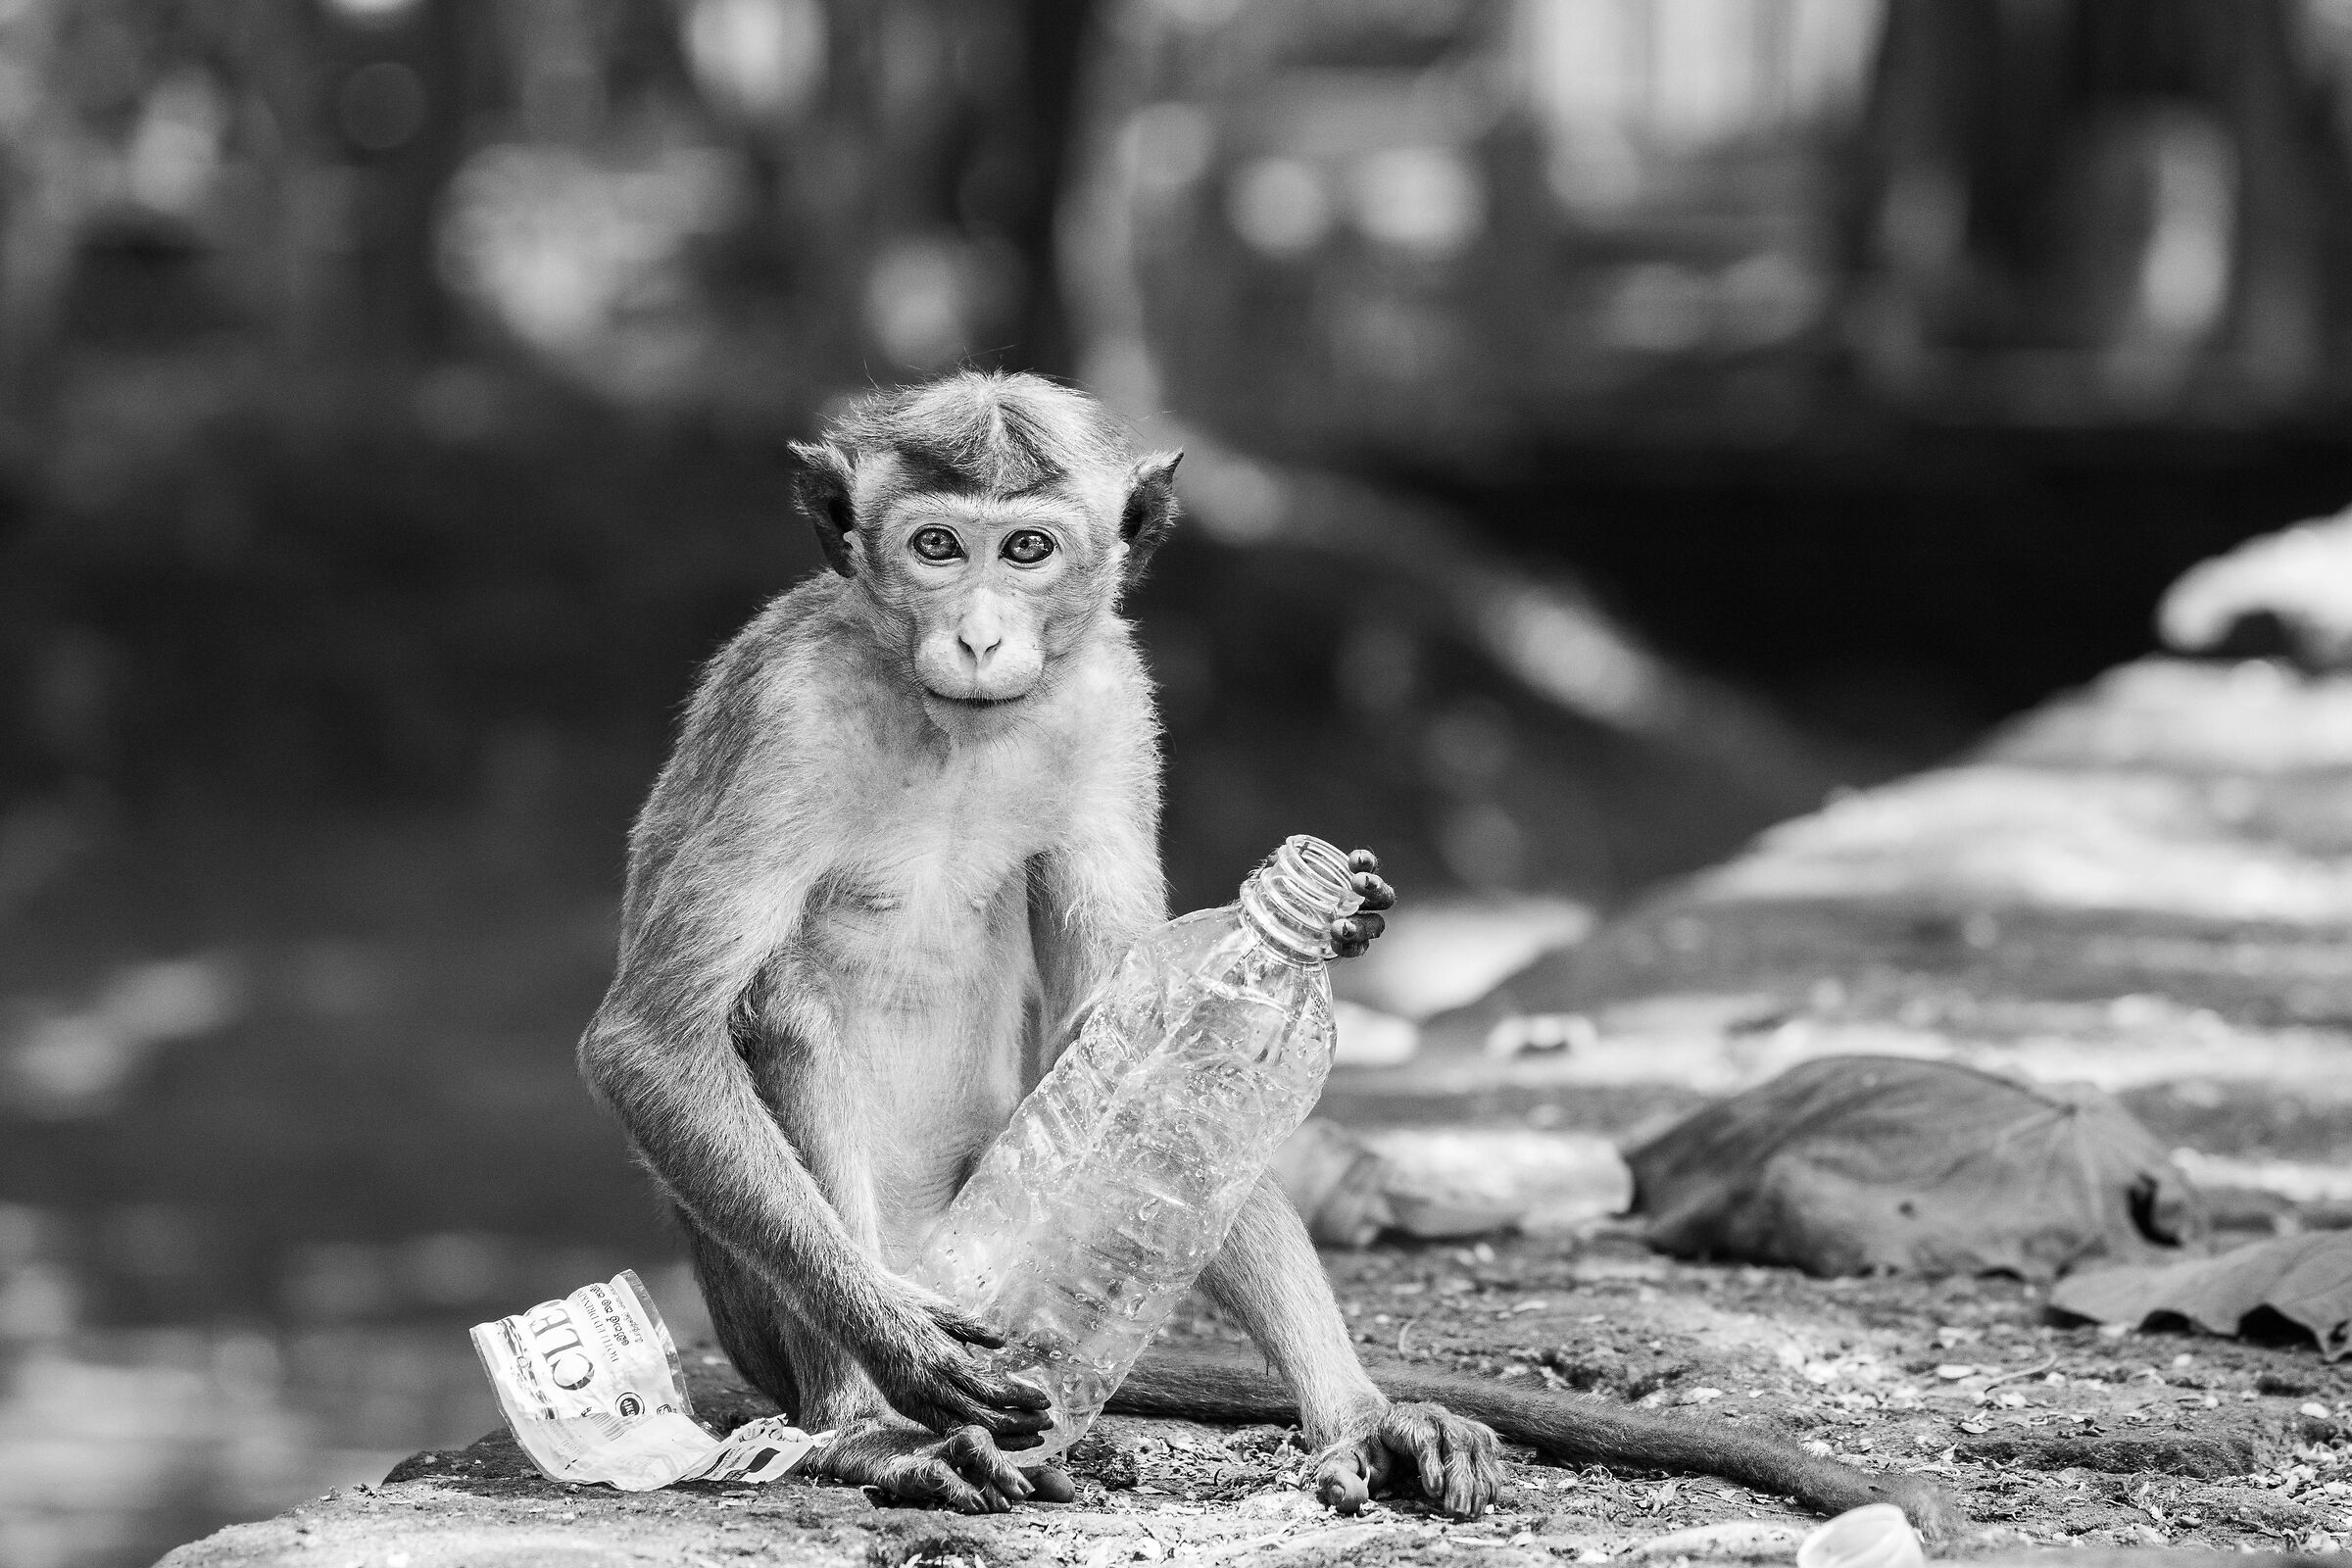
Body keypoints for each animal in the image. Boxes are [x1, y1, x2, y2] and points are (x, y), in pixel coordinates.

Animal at [577, 370, 1959, 1538]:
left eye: (1025, 549)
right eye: (934, 546)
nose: (976, 635)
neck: (950, 723)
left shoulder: (1112, 700)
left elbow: (1130, 1038)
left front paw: (1359, 1414)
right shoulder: (789, 716)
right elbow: (651, 1040)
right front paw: (911, 1357)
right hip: (769, 1298)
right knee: (784, 1012)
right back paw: (873, 1426)